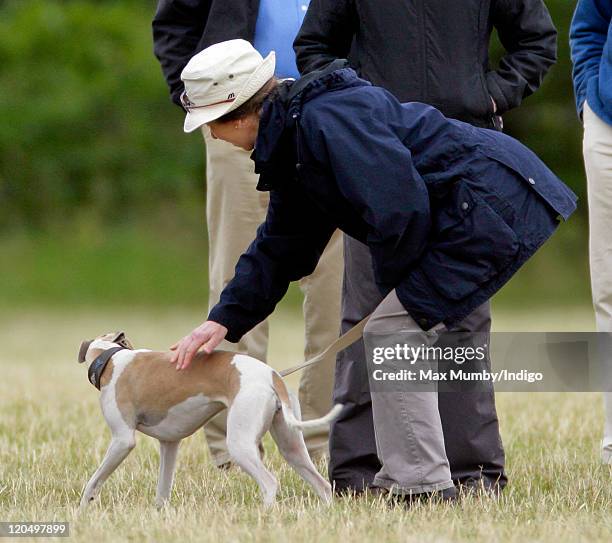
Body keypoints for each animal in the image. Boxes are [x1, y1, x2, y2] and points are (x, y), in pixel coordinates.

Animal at [77, 332, 342, 510]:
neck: (110, 359)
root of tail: (271, 375)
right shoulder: (169, 444)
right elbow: (163, 487)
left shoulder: (122, 441)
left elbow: (94, 479)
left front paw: (82, 509)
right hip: (291, 445)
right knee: (322, 484)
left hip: (240, 443)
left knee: (269, 483)